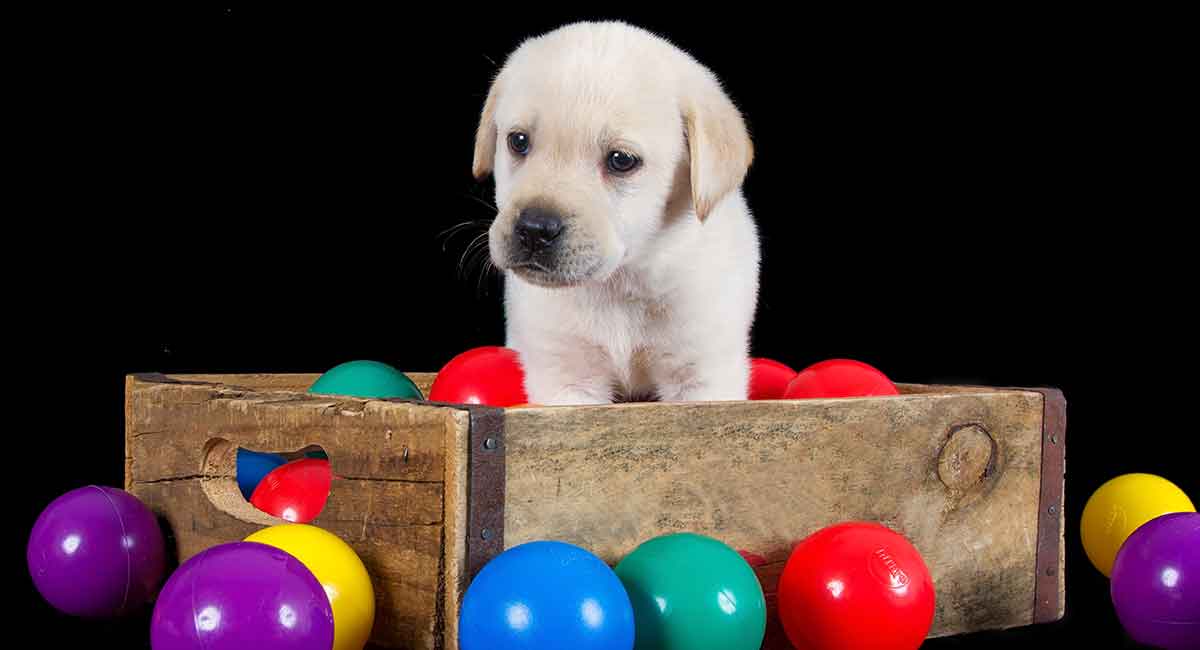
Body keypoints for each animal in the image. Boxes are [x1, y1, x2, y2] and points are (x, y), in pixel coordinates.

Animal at [470, 20, 758, 405]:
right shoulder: (566, 378)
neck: (620, 285)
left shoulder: (703, 375)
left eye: (621, 161)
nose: (534, 229)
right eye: (518, 141)